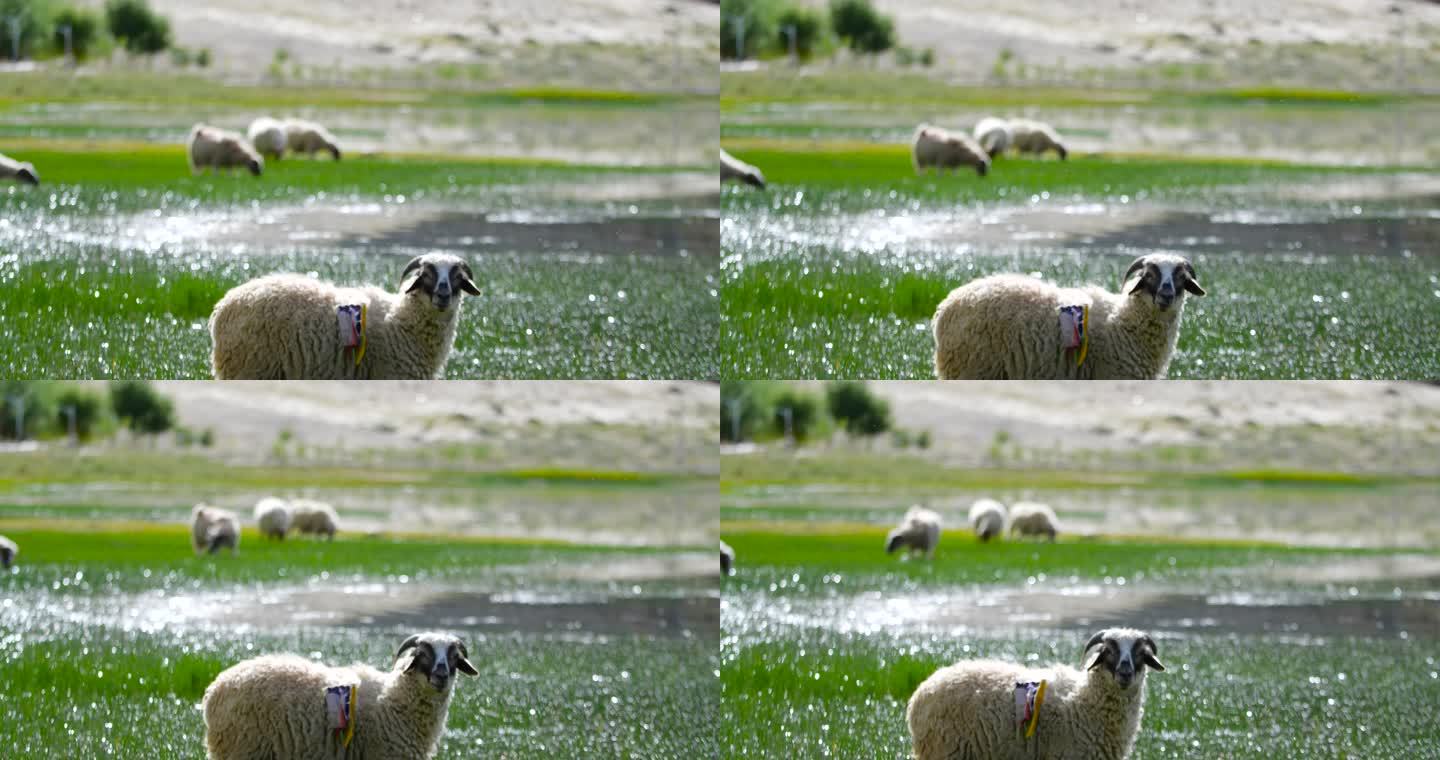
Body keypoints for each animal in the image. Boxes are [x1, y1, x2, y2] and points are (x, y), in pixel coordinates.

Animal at [204, 630, 478, 760]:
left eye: (455, 658)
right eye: (422, 655)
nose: (441, 675)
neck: (393, 698)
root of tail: (213, 690)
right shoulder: (383, 753)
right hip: (241, 748)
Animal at [208, 251, 480, 380]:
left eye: (457, 277)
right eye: (426, 275)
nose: (443, 295)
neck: (401, 319)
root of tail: (221, 309)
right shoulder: (390, 373)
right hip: (248, 367)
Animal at [910, 630, 1169, 760]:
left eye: (1140, 653)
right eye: (1108, 651)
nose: (1125, 673)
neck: (1085, 699)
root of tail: (919, 695)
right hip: (943, 749)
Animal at [933, 251, 1203, 380]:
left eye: (1181, 277)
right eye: (1149, 275)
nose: (1166, 295)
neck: (1124, 319)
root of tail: (944, 309)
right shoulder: (1112, 374)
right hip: (970, 368)